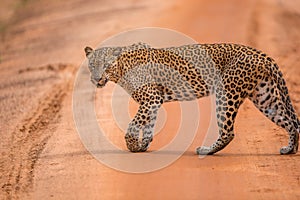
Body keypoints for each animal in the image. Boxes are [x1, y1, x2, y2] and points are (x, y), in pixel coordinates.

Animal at [83, 41, 298, 155]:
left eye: (106, 65)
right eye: (92, 65)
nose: (97, 78)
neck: (120, 70)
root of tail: (261, 54)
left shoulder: (150, 98)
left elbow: (134, 124)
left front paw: (132, 145)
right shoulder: (153, 102)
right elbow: (148, 125)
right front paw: (143, 145)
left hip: (227, 93)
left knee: (228, 132)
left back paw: (206, 150)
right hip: (264, 96)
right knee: (290, 122)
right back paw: (290, 149)